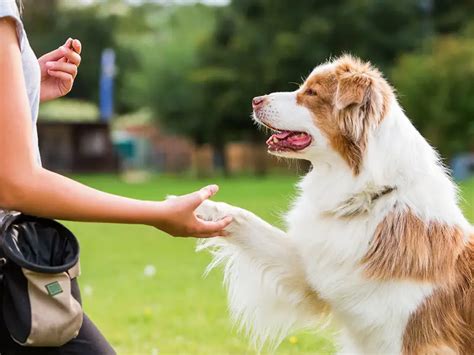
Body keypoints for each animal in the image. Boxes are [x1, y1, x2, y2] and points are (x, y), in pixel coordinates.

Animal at [194, 54, 472, 354]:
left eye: (311, 93)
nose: (255, 100)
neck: (368, 198)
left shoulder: (416, 339)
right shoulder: (317, 271)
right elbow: (246, 219)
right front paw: (196, 206)